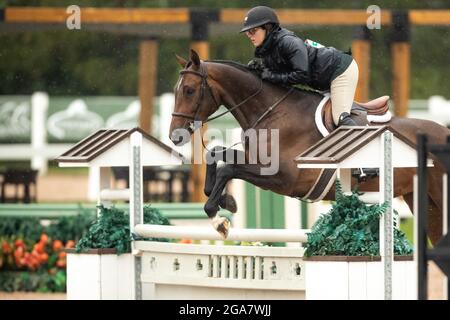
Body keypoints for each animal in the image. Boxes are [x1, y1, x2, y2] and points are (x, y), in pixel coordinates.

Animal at [170, 48, 450, 244]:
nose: (175, 136)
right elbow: (216, 155)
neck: (273, 113)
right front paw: (225, 200)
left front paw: (218, 218)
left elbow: (228, 169)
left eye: (189, 90)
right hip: (426, 203)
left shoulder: (284, 178)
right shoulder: (258, 161)